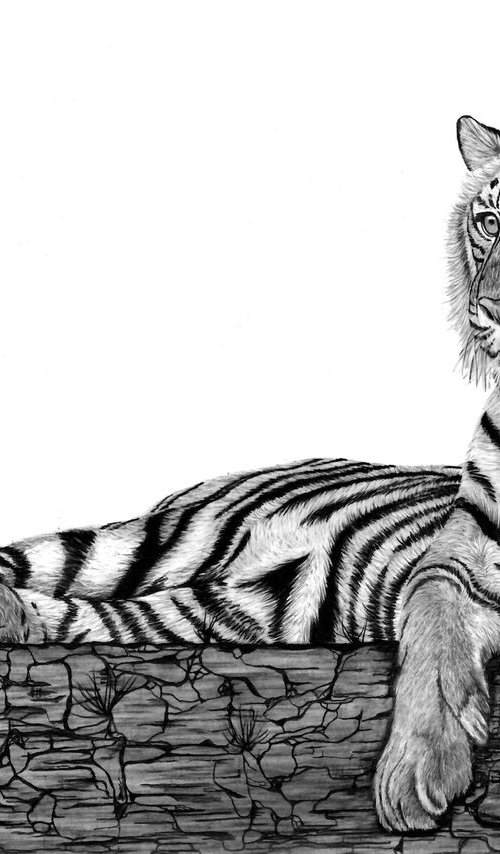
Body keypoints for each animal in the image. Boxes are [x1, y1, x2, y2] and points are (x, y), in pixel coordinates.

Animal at [0, 113, 497, 834]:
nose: (492, 308)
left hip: (232, 609)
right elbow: (436, 625)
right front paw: (417, 771)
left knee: (104, 622)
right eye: (490, 221)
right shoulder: (456, 556)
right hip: (153, 542)